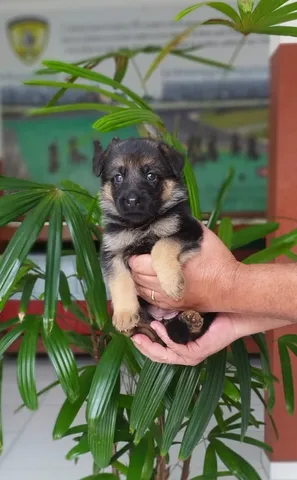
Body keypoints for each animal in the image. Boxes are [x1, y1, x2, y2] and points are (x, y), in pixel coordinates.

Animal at [93, 137, 215, 344]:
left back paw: (191, 320)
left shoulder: (188, 229)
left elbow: (161, 245)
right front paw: (125, 314)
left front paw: (171, 282)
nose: (132, 201)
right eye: (118, 177)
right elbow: (119, 280)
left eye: (151, 176)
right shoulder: (112, 251)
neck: (141, 225)